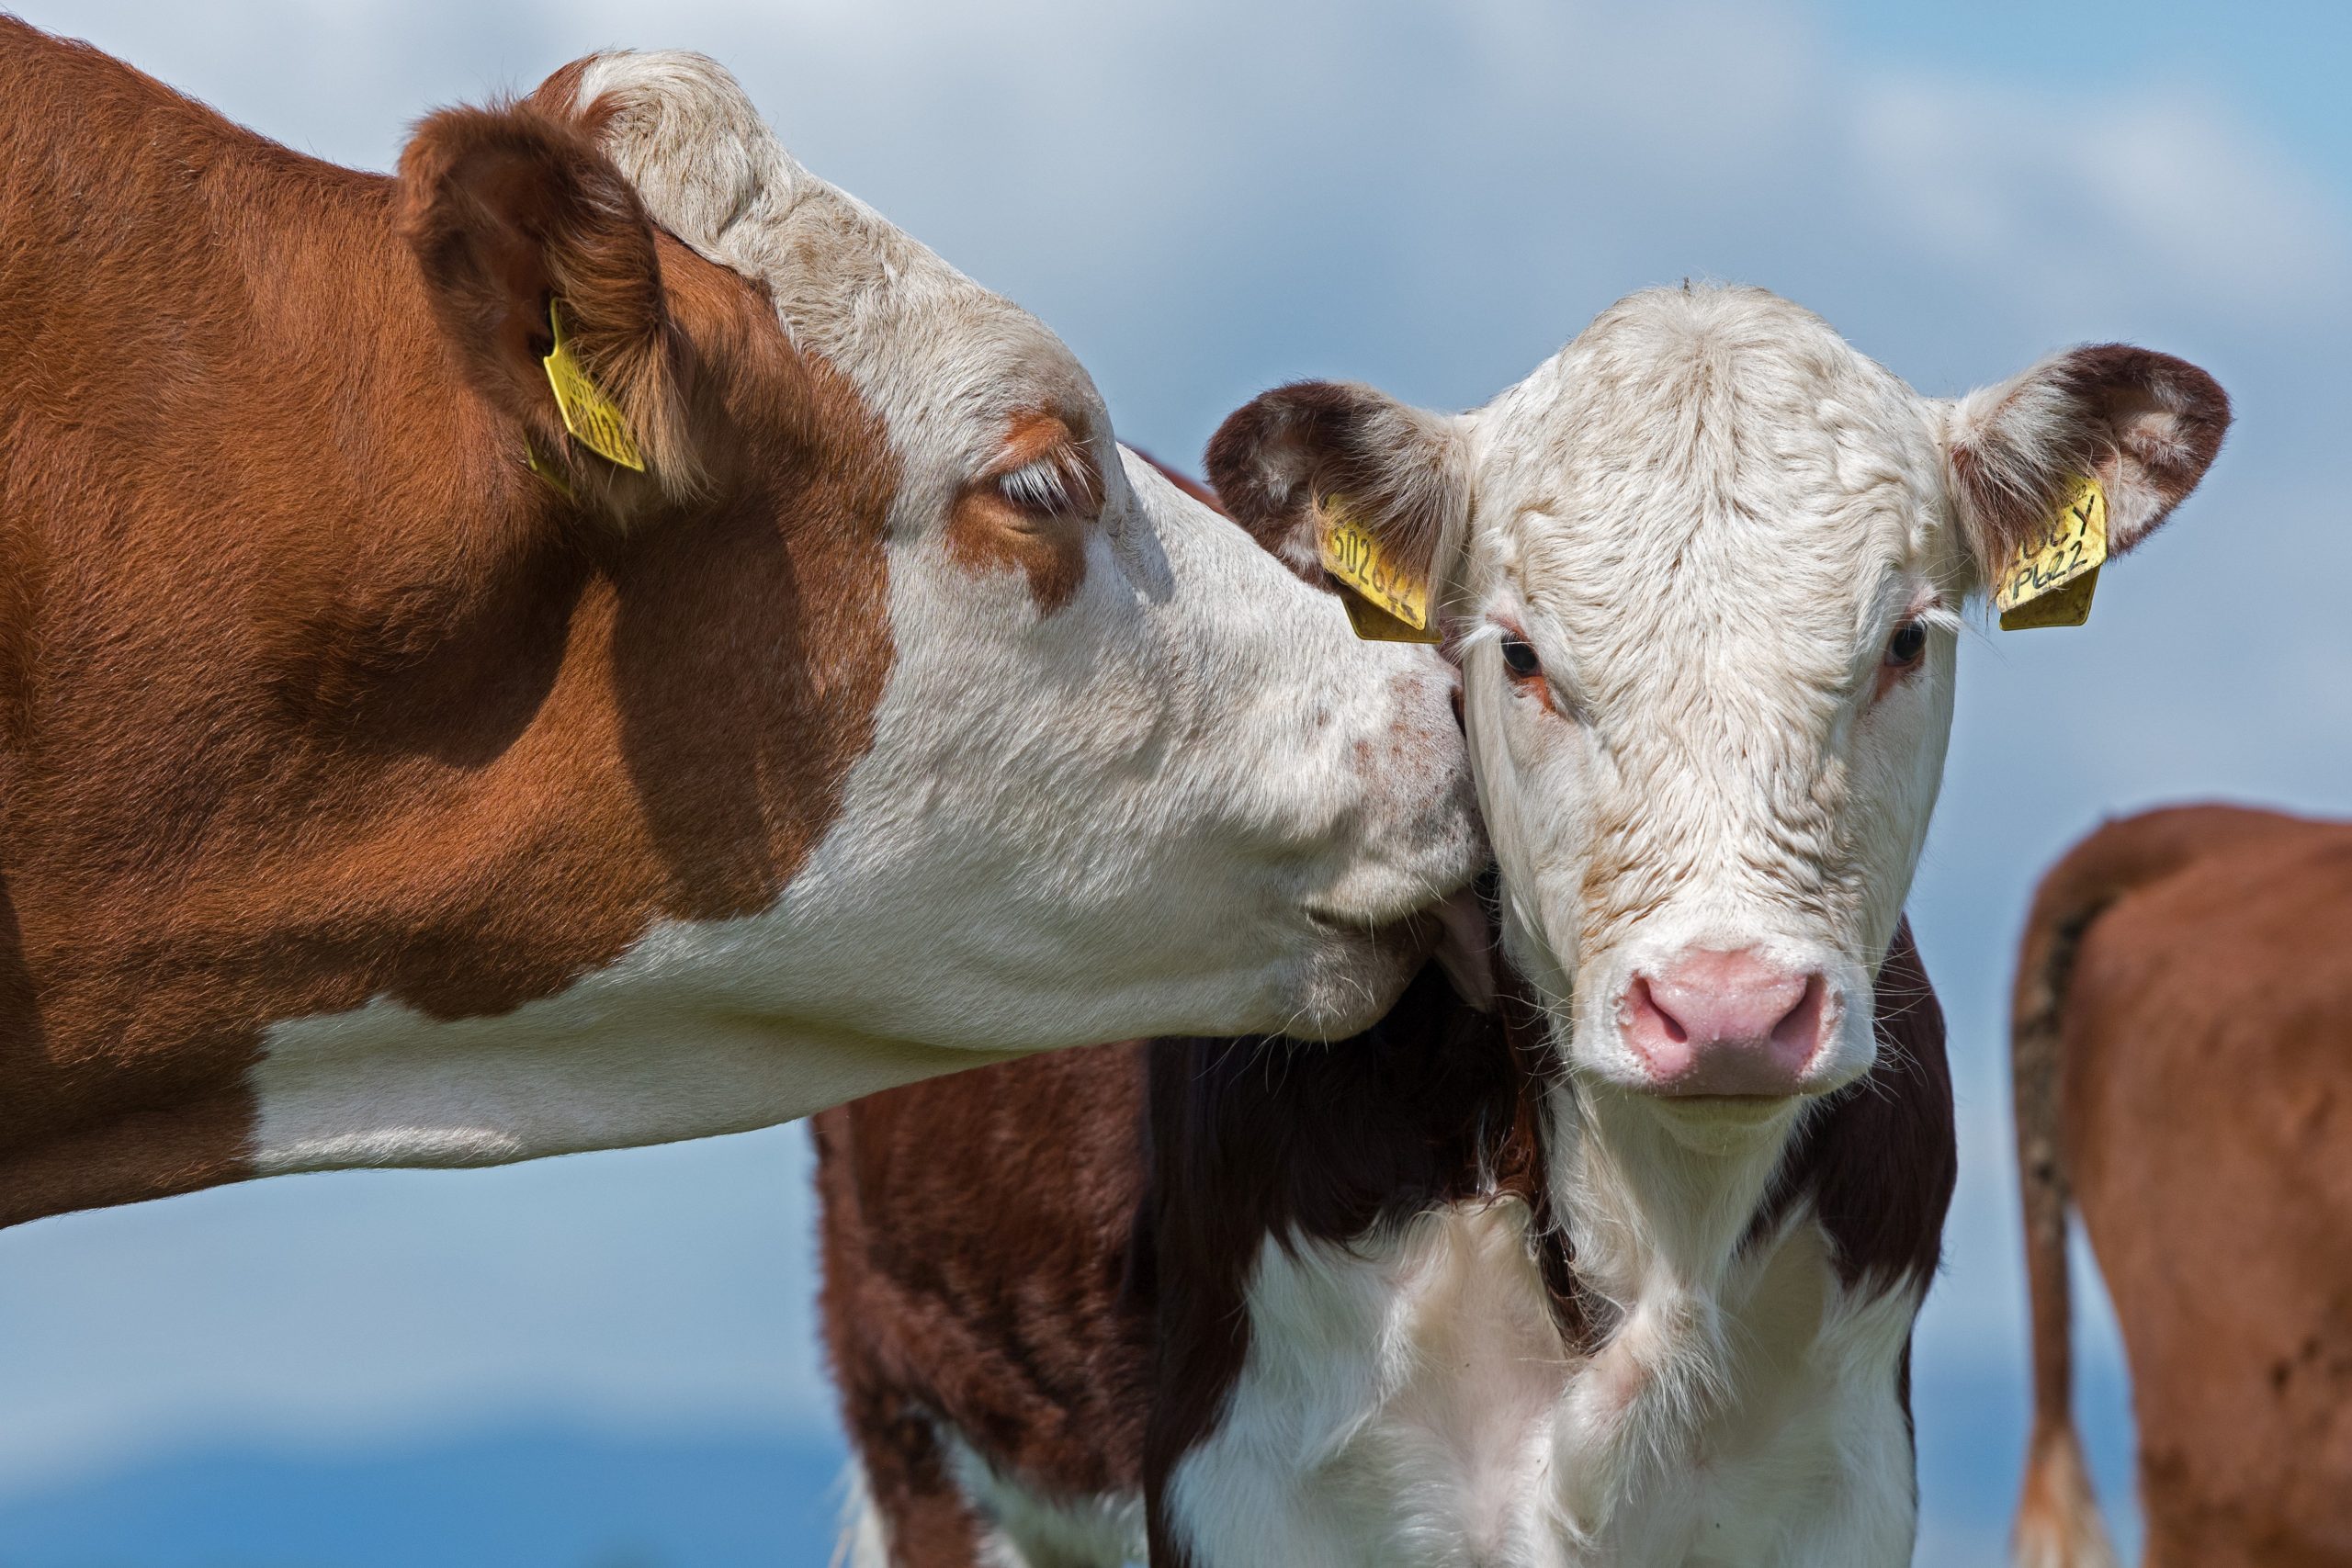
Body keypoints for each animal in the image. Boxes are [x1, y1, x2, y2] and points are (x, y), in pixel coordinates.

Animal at [814, 283, 2231, 1565]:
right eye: (1519, 656)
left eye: (1903, 642)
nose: (1726, 1009)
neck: (1650, 1235)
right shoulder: (1252, 1478)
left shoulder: (1843, 1481)